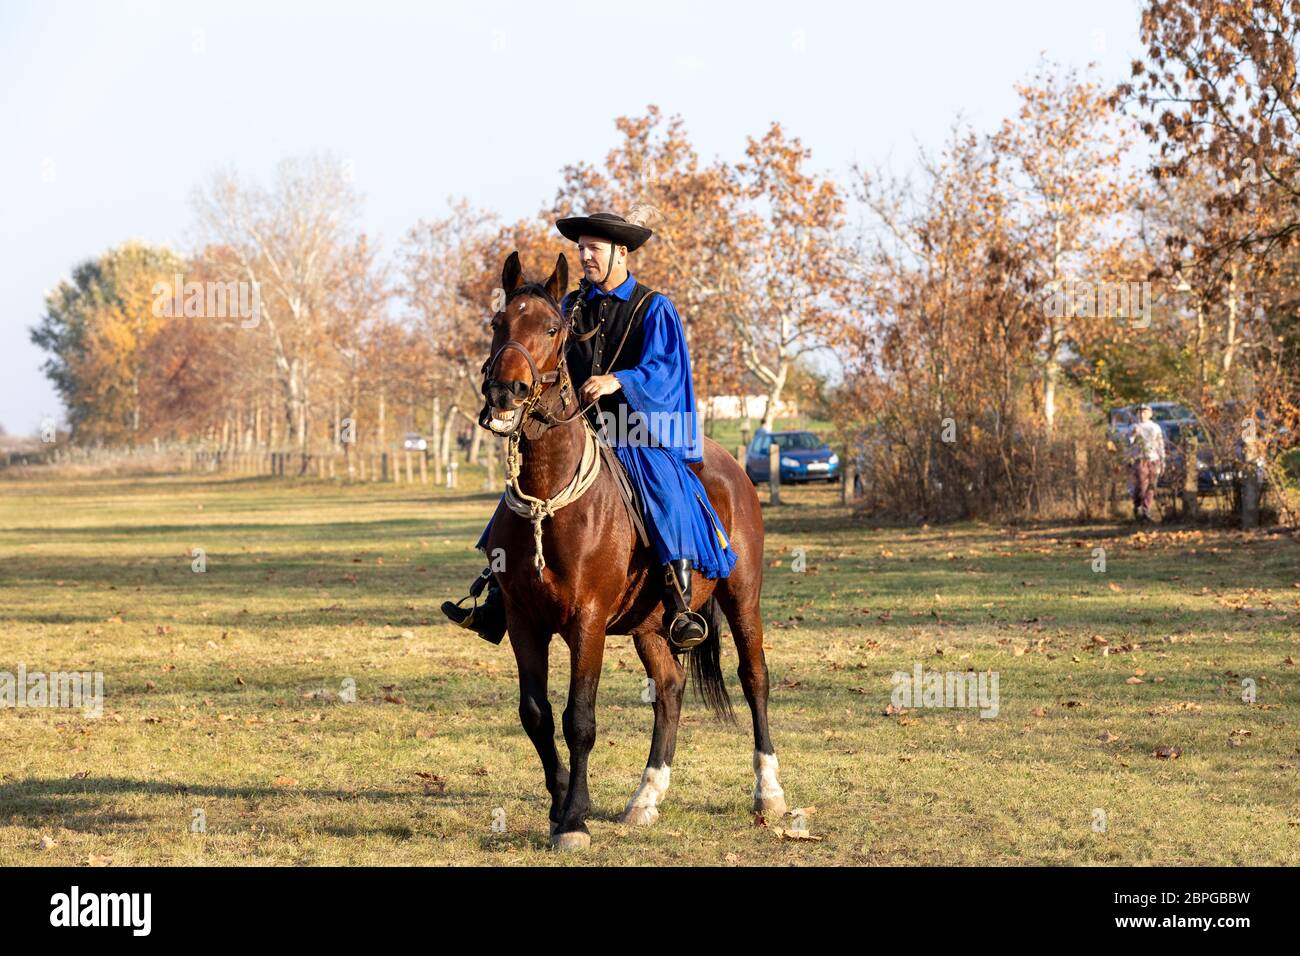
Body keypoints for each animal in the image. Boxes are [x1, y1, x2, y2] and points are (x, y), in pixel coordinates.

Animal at [475, 251, 780, 848]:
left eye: (552, 328)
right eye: (499, 323)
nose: (504, 394)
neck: (550, 500)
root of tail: (729, 465)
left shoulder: (587, 622)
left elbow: (580, 719)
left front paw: (574, 819)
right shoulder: (524, 621)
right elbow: (536, 714)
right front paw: (560, 803)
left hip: (742, 597)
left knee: (754, 679)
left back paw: (769, 791)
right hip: (651, 624)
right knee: (671, 687)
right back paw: (646, 797)